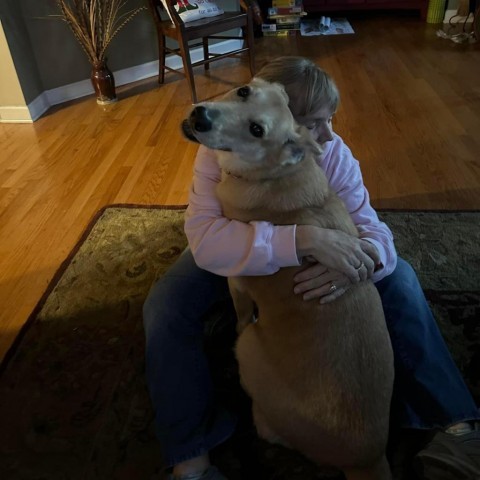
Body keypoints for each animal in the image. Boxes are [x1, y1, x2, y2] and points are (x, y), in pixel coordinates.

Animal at [182, 79, 396, 480]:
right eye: (243, 91)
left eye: (257, 130)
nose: (200, 116)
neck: (272, 174)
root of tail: (368, 458)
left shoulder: (236, 281)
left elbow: (240, 311)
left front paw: (232, 319)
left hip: (249, 350)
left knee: (266, 424)